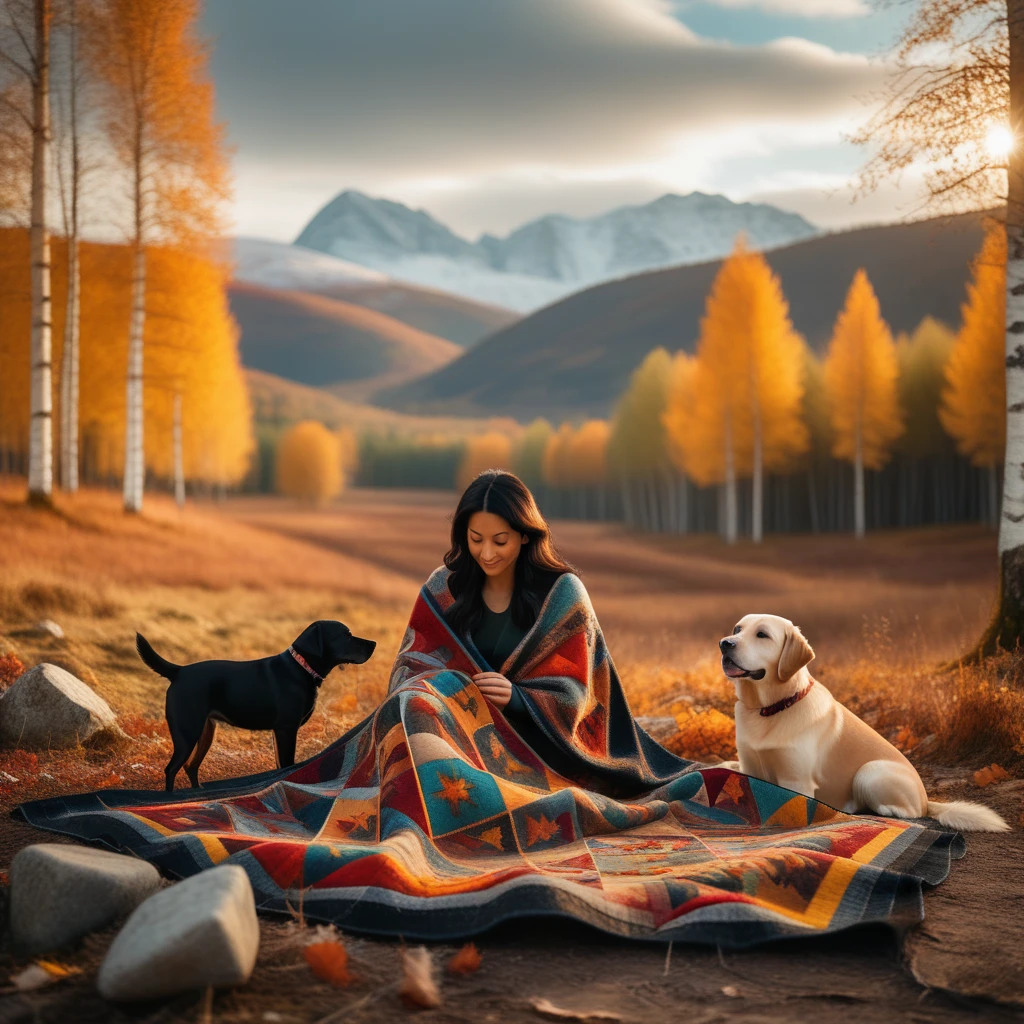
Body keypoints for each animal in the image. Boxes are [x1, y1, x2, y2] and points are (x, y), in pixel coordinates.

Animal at [136, 614, 376, 790]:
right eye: (346, 636)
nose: (373, 643)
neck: (301, 667)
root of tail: (179, 671)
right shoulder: (286, 729)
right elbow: (286, 766)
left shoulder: (279, 732)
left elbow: (279, 766)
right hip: (186, 733)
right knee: (171, 769)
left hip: (205, 732)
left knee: (190, 767)